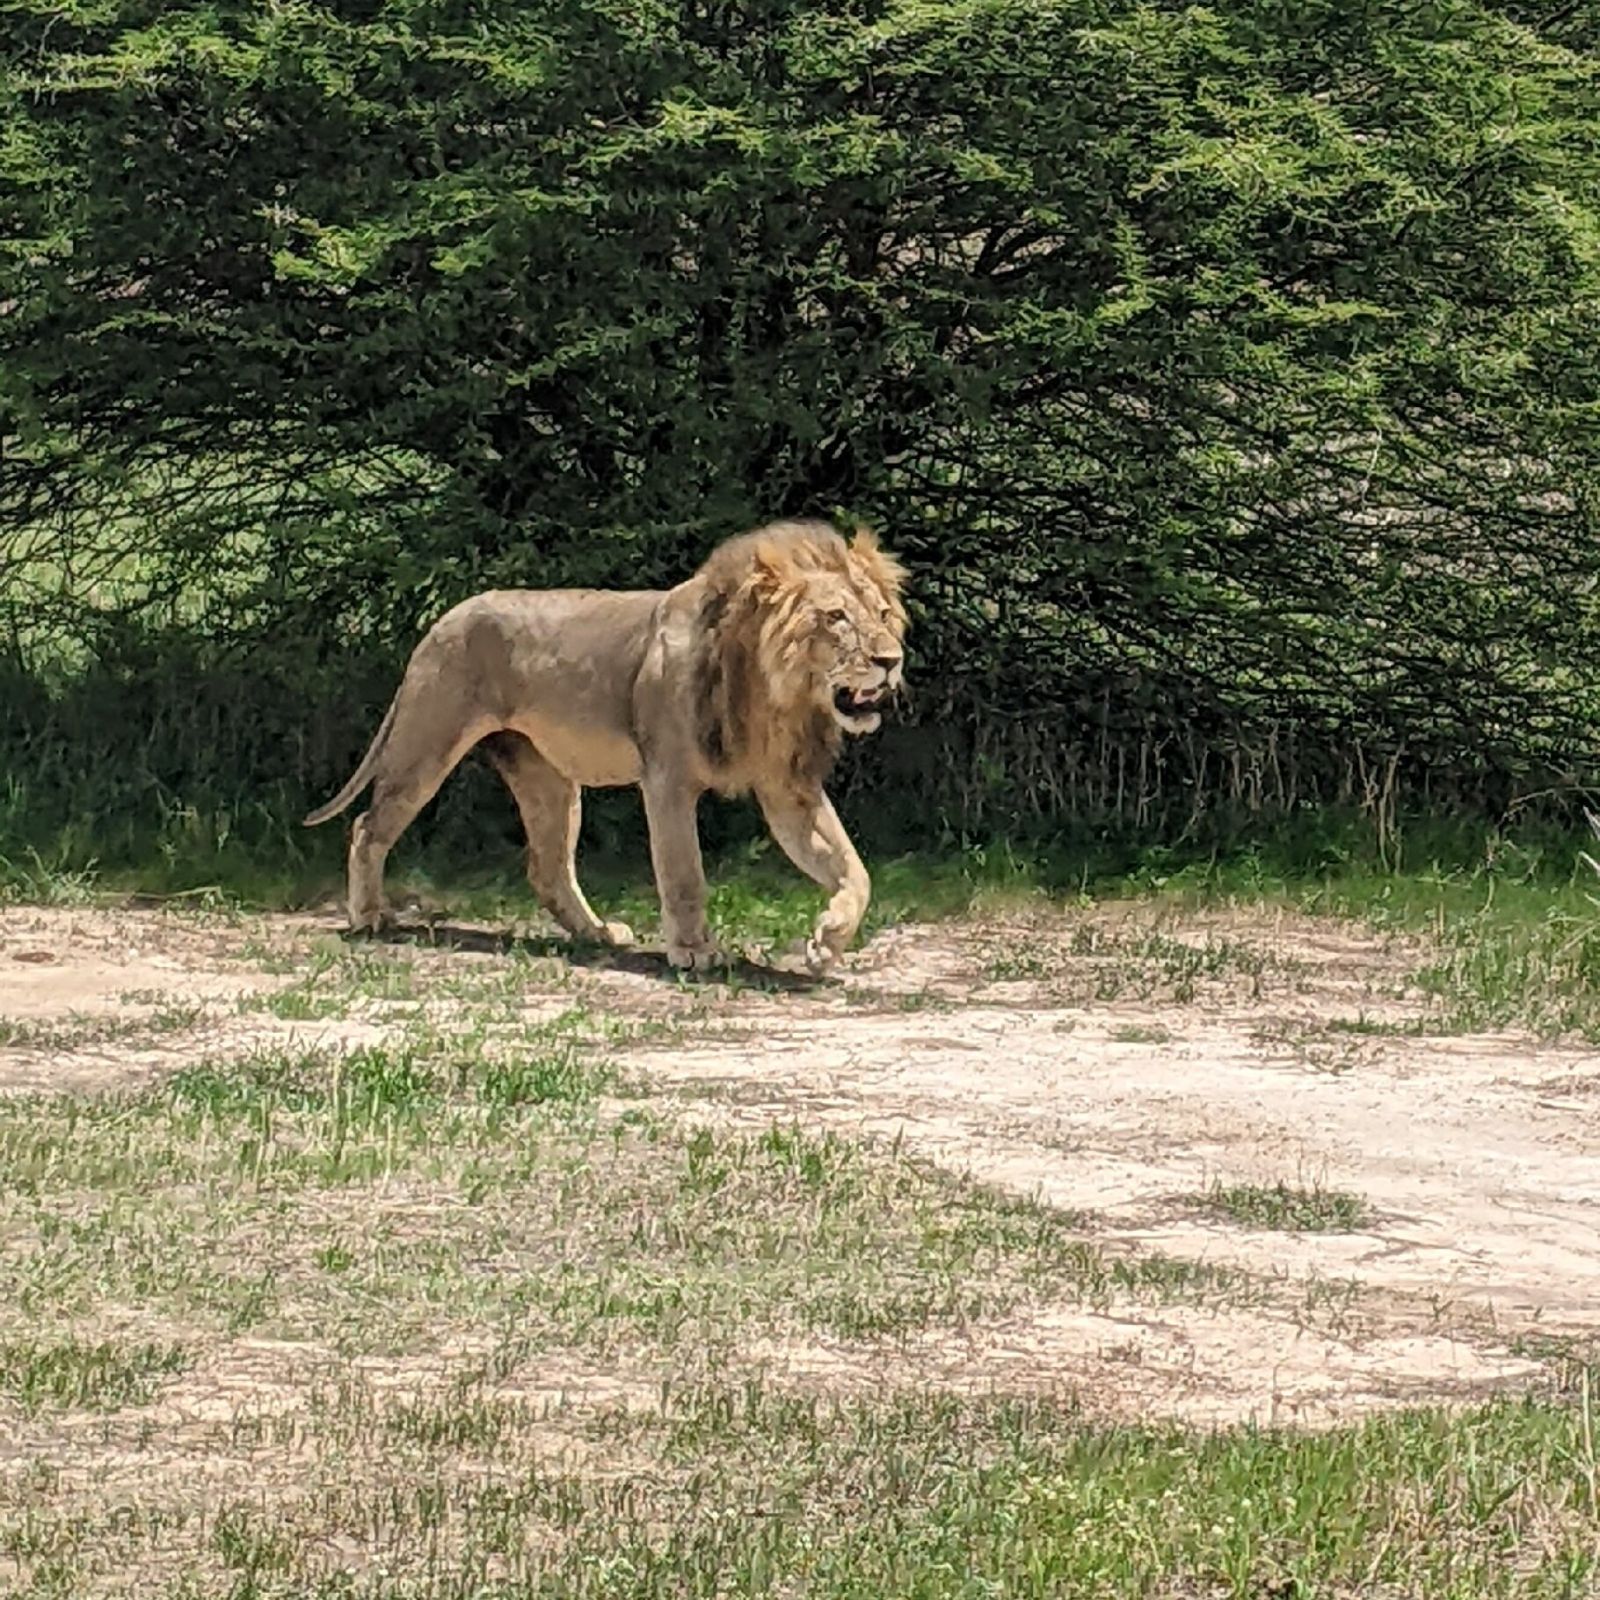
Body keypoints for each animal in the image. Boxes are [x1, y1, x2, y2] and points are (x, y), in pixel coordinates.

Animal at [302, 519, 909, 972]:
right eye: (835, 618)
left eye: (882, 615)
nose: (890, 659)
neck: (777, 696)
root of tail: (444, 618)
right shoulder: (667, 779)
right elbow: (684, 872)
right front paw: (695, 951)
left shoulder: (788, 788)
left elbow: (854, 869)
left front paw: (827, 941)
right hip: (427, 745)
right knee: (368, 827)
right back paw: (369, 917)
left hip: (549, 780)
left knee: (547, 867)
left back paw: (595, 933)